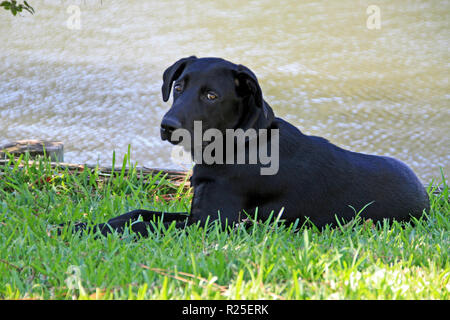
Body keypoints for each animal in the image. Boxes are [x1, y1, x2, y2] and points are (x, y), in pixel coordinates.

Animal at [62, 56, 428, 236]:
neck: (237, 144)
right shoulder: (196, 213)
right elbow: (137, 214)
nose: (168, 126)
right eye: (179, 87)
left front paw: (85, 230)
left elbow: (141, 225)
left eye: (212, 95)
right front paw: (75, 224)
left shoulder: (211, 224)